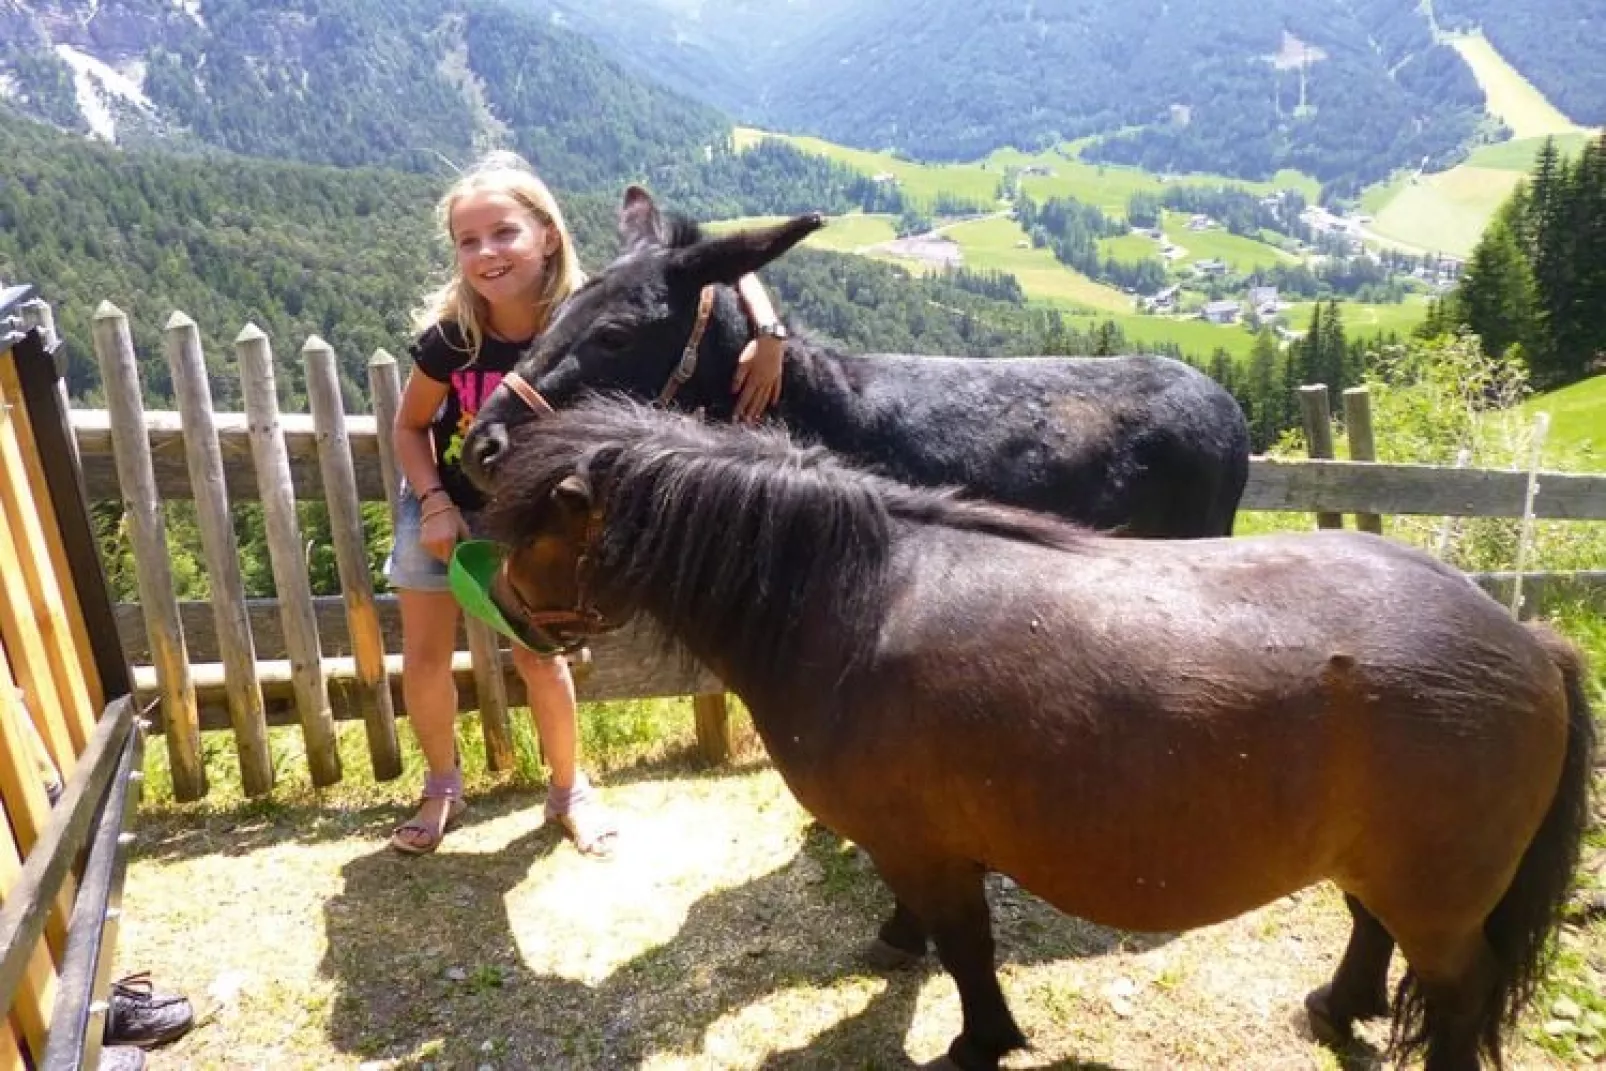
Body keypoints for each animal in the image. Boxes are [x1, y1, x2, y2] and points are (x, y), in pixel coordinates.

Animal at [475, 396, 1593, 1071]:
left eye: (538, 533)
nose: (514, 620)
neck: (850, 597)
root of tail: (1529, 642)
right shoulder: (917, 842)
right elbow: (927, 926)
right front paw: (898, 942)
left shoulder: (930, 847)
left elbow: (969, 949)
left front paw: (979, 1040)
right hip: (1385, 863)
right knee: (1369, 923)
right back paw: (1337, 1002)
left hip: (1441, 896)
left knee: (1454, 988)